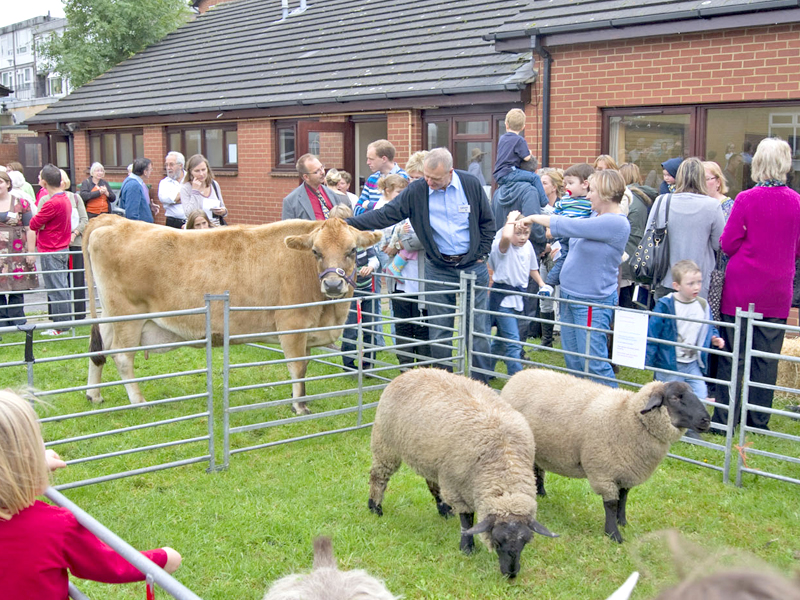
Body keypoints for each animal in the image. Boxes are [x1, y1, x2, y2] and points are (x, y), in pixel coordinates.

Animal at [83, 213, 382, 414]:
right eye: (316, 251)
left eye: (352, 250)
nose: (332, 284)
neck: (327, 313)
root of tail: (111, 220)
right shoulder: (292, 324)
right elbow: (298, 368)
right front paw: (299, 406)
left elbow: (304, 367)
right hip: (127, 317)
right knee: (122, 357)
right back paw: (139, 402)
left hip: (109, 316)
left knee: (98, 350)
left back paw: (93, 395)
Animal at [368, 368, 556, 580]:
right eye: (497, 541)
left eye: (525, 542)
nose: (511, 574)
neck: (503, 460)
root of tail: (411, 371)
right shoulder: (456, 486)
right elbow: (466, 520)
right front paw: (467, 547)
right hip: (385, 443)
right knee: (378, 477)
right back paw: (375, 507)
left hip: (430, 458)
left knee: (432, 483)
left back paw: (443, 509)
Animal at [504, 370, 708, 544]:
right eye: (674, 397)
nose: (706, 420)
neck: (629, 415)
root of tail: (517, 376)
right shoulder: (604, 473)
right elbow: (610, 504)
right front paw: (613, 534)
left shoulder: (627, 471)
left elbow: (623, 499)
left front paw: (623, 523)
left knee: (537, 468)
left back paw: (542, 492)